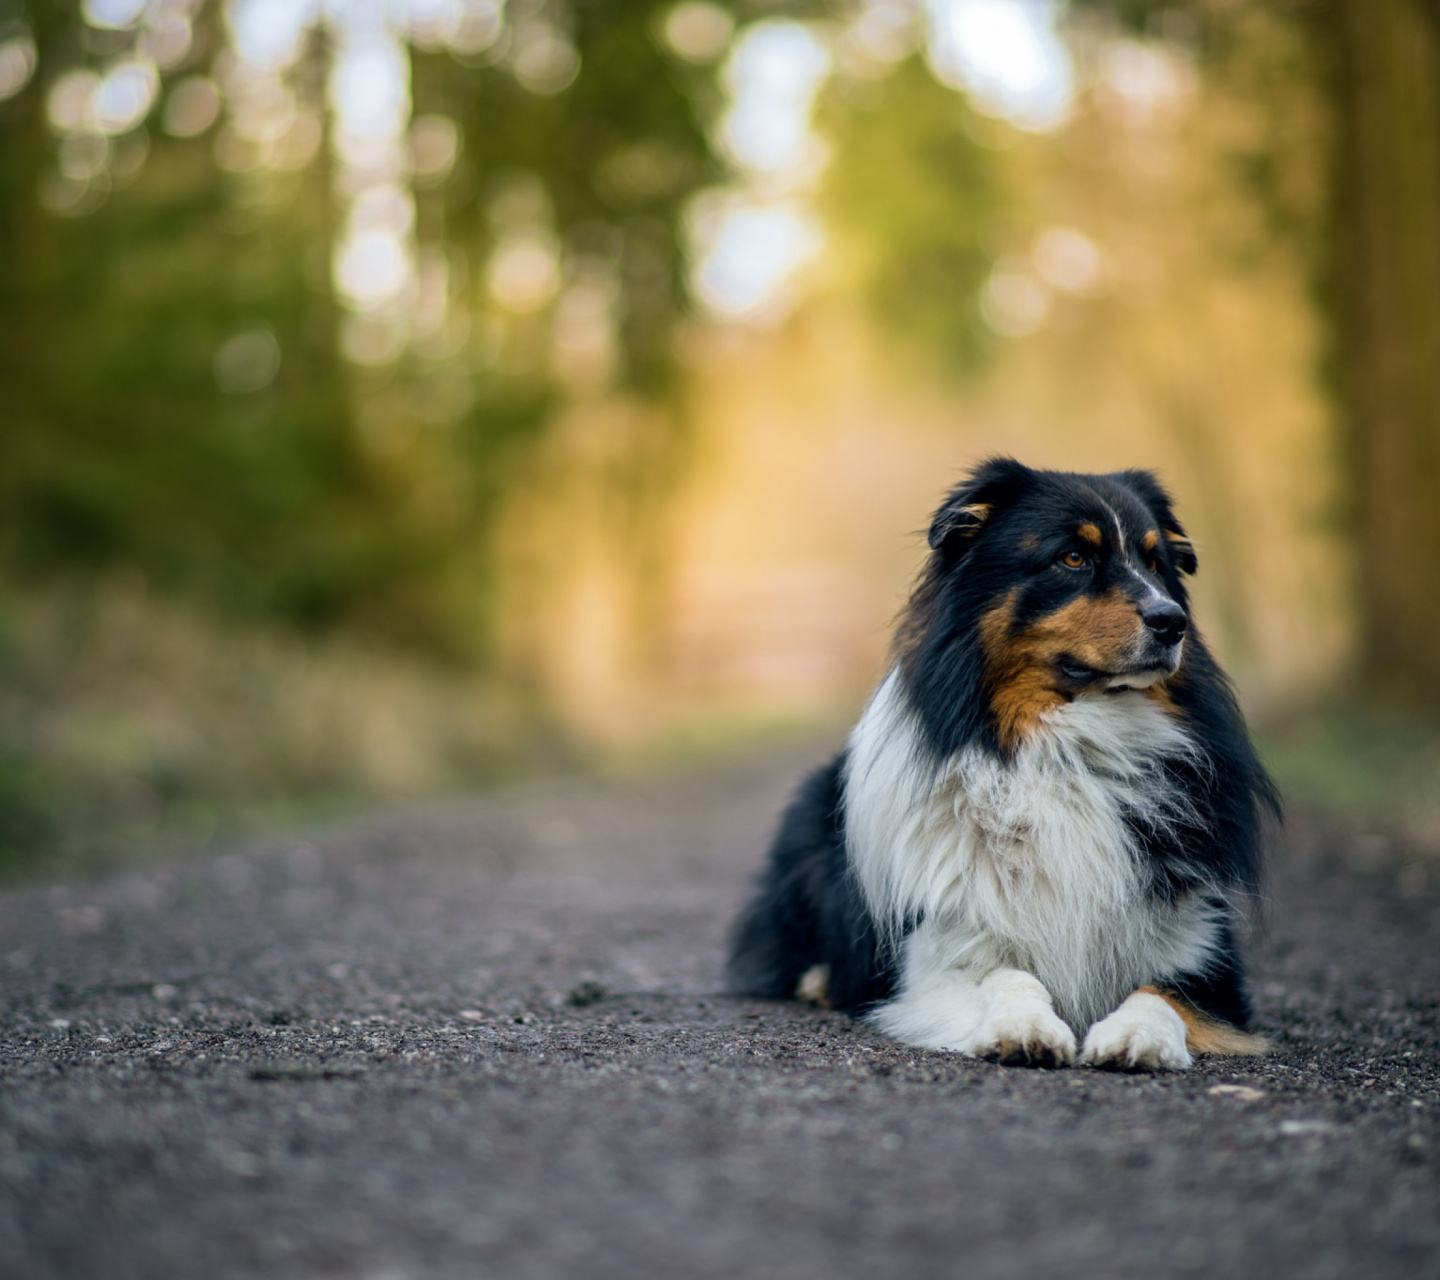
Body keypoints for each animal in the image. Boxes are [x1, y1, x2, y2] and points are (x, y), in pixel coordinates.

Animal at [725, 460, 1278, 1071]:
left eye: (1156, 563)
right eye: (1073, 558)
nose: (1172, 620)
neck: (1066, 748)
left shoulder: (1204, 951)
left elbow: (1160, 993)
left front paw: (1137, 1037)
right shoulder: (937, 952)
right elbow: (1007, 974)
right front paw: (1025, 1028)